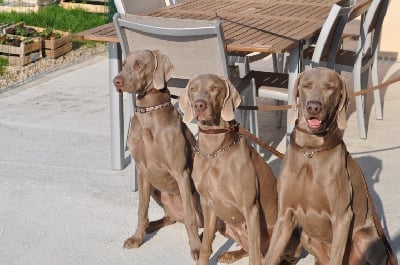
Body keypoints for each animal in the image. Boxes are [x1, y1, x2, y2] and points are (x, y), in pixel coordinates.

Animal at [112, 49, 203, 260]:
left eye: (139, 64)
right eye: (124, 63)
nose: (116, 81)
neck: (149, 115)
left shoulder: (181, 173)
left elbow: (190, 217)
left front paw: (196, 248)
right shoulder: (142, 171)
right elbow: (141, 210)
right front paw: (137, 238)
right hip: (156, 189)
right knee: (170, 218)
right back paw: (150, 226)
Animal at [179, 73, 300, 264]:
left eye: (215, 88)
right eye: (193, 89)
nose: (199, 105)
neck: (215, 151)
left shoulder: (250, 208)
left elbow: (254, 255)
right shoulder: (208, 203)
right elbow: (206, 245)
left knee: (269, 255)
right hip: (223, 223)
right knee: (249, 249)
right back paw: (230, 254)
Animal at [262, 66, 396, 264]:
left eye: (330, 87)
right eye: (306, 85)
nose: (313, 107)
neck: (311, 151)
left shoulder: (342, 217)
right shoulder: (285, 215)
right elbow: (270, 256)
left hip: (366, 238)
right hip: (306, 236)